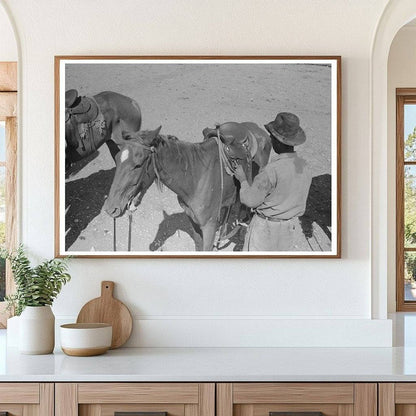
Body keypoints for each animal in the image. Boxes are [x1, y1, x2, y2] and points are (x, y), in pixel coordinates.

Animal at [104, 122, 272, 252]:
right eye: (116, 159)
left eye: (138, 165)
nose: (111, 208)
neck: (195, 178)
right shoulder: (193, 220)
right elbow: (198, 246)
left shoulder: (209, 226)